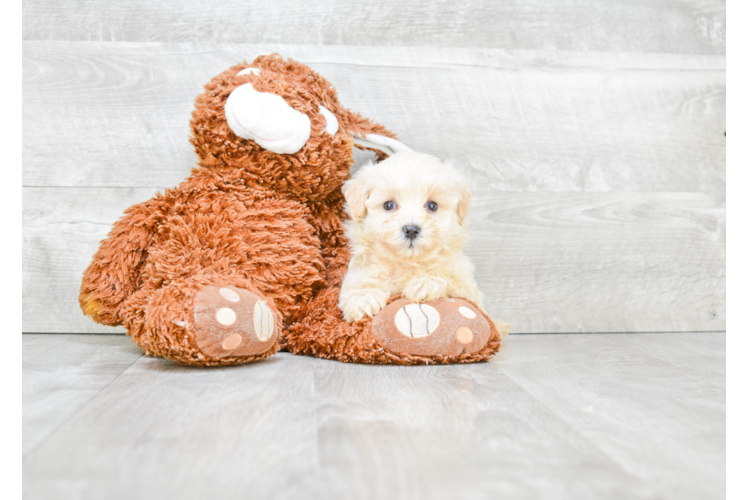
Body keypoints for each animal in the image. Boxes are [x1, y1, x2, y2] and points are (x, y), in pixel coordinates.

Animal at [338, 150, 482, 322]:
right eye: (389, 205)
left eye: (432, 205)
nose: (411, 230)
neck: (407, 262)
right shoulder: (361, 269)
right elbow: (359, 283)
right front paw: (363, 297)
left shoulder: (468, 289)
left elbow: (451, 279)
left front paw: (425, 282)